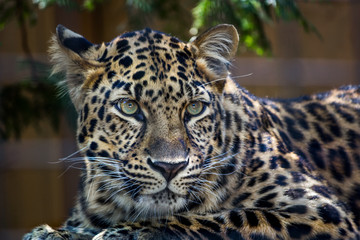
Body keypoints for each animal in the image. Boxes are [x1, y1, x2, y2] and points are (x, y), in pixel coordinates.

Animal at [23, 23, 360, 239]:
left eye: (195, 108)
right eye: (129, 107)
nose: (169, 168)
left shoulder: (323, 212)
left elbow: (228, 216)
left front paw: (125, 234)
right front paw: (54, 233)